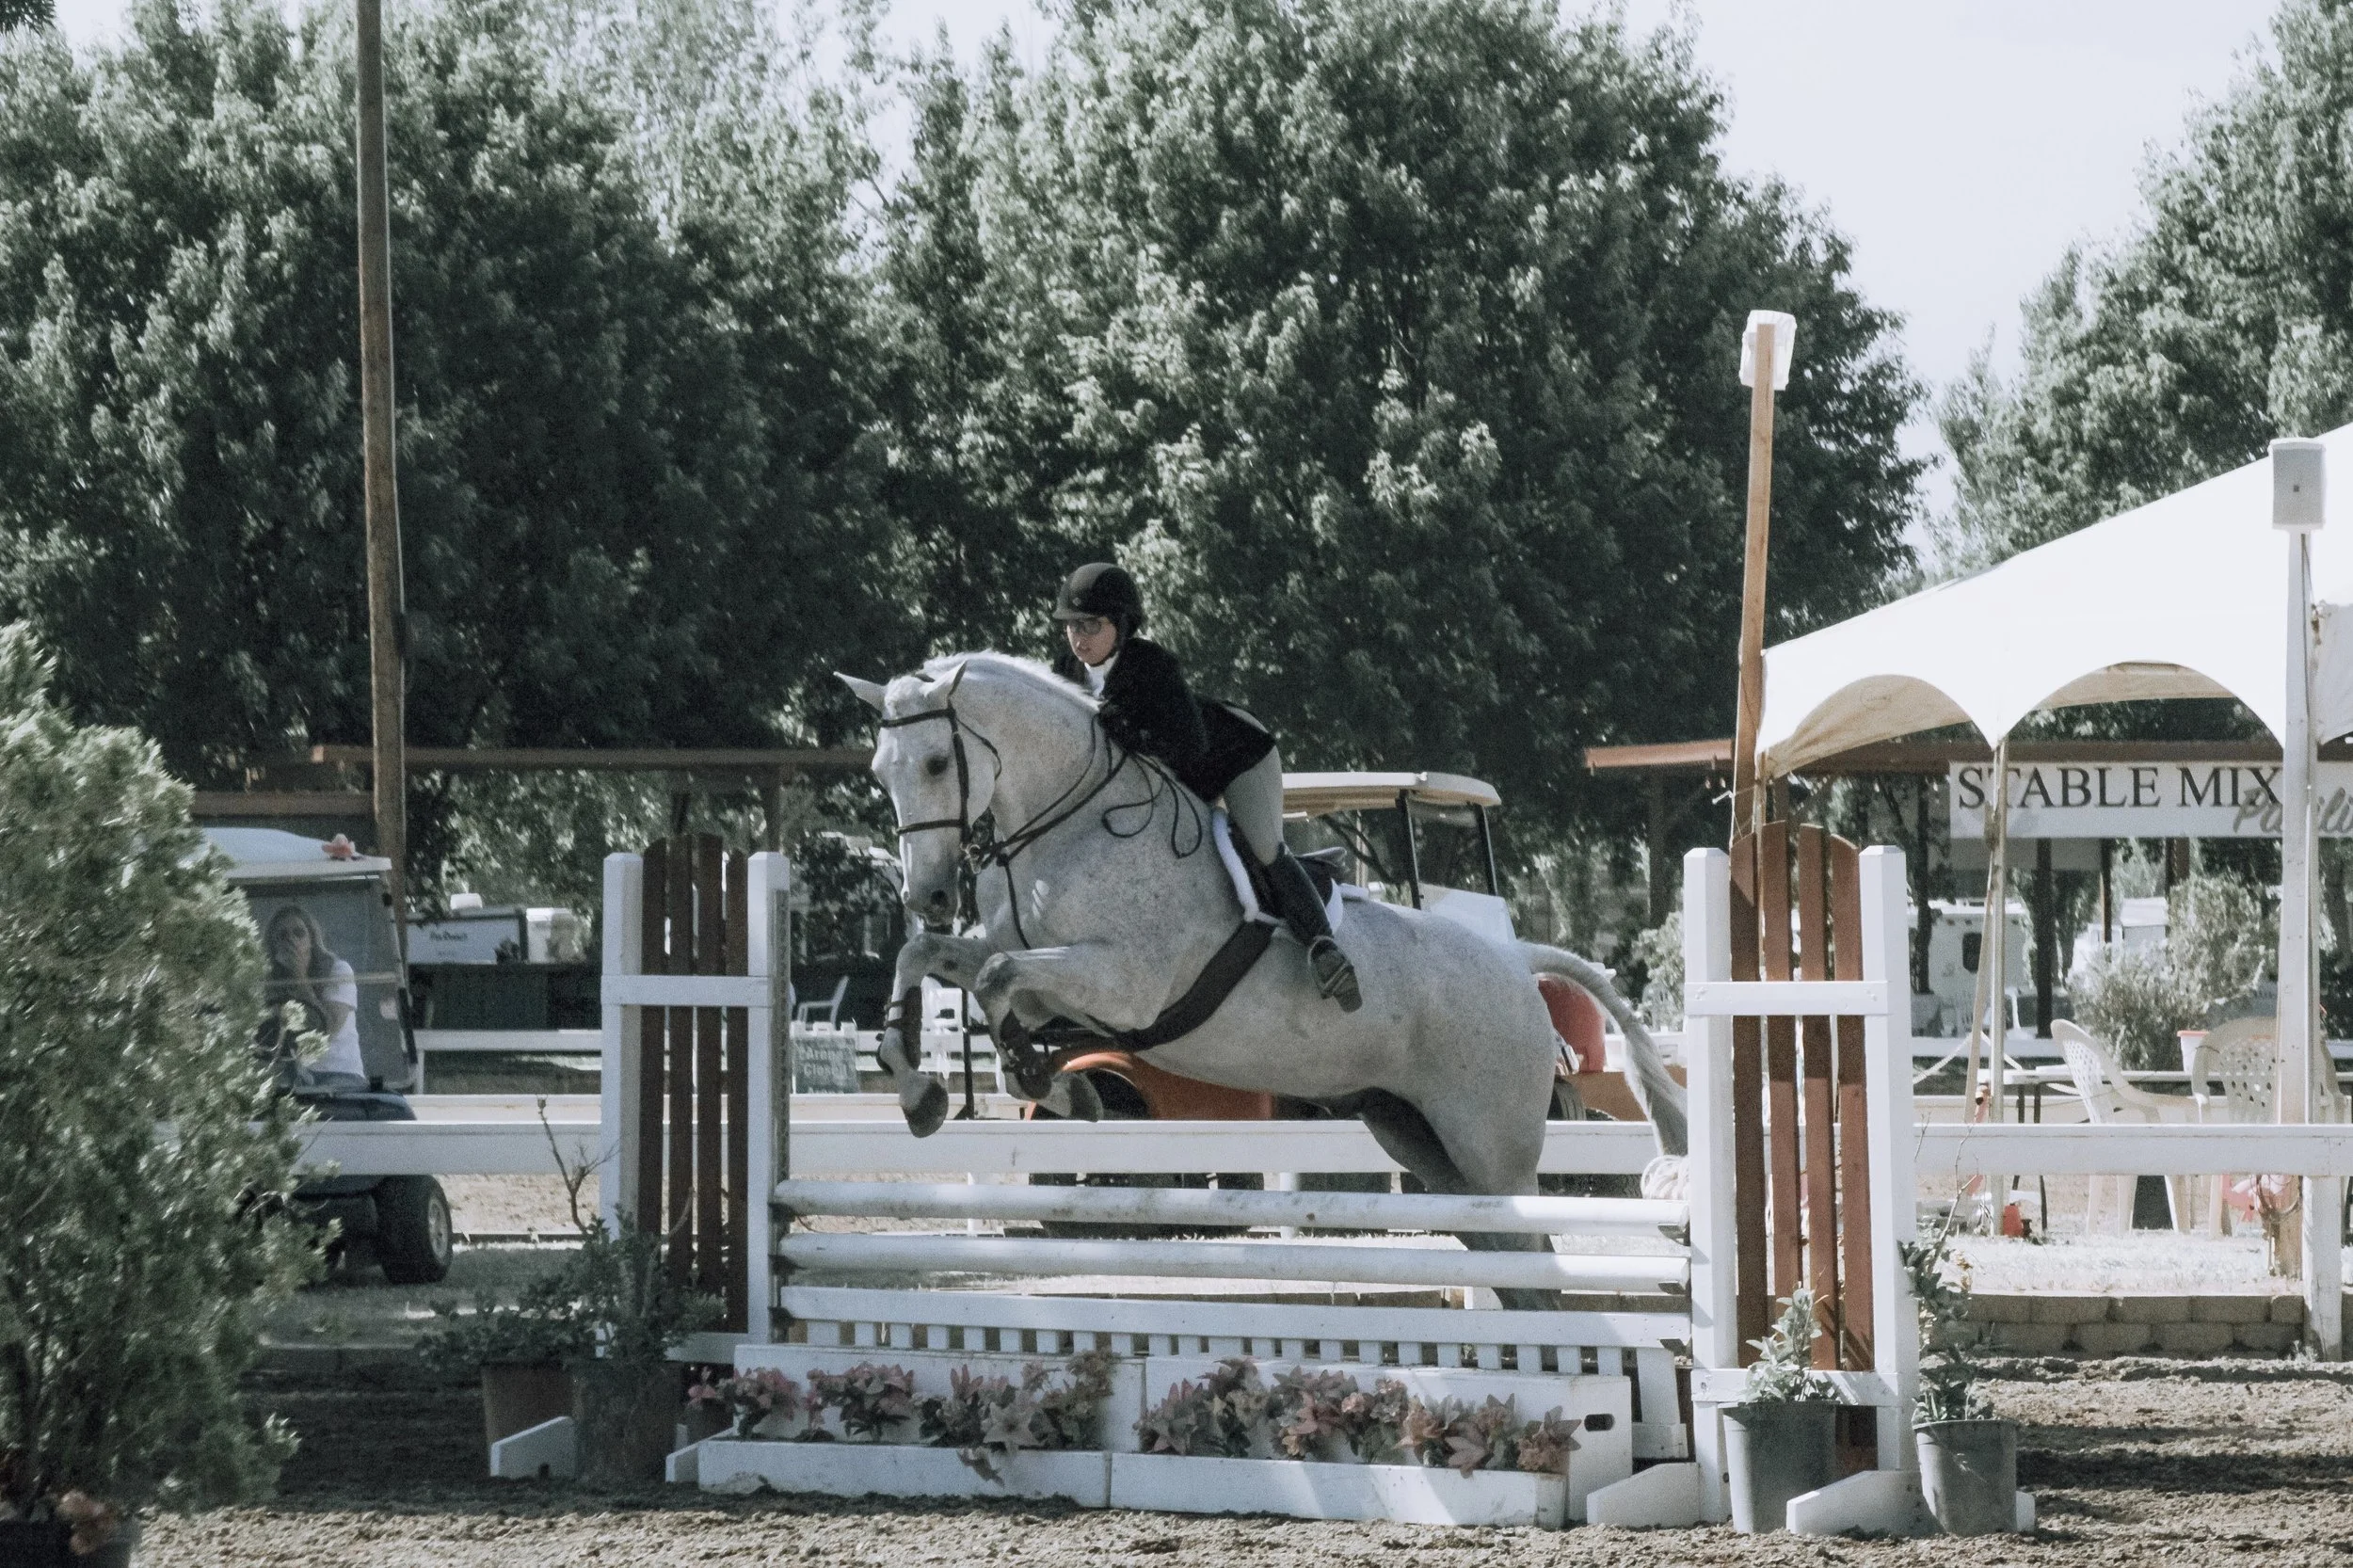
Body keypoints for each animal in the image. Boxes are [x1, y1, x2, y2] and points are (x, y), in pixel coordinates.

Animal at [838, 654, 1687, 1305]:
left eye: (937, 763)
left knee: (1536, 1256)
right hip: (1418, 1137)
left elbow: (1000, 980)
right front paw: (926, 1094)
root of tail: (1516, 964)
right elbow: (937, 963)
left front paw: (1055, 1086)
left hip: (1490, 1144)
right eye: (879, 771)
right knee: (1512, 1266)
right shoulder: (1042, 976)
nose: (928, 896)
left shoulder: (1122, 984)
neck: (1068, 828)